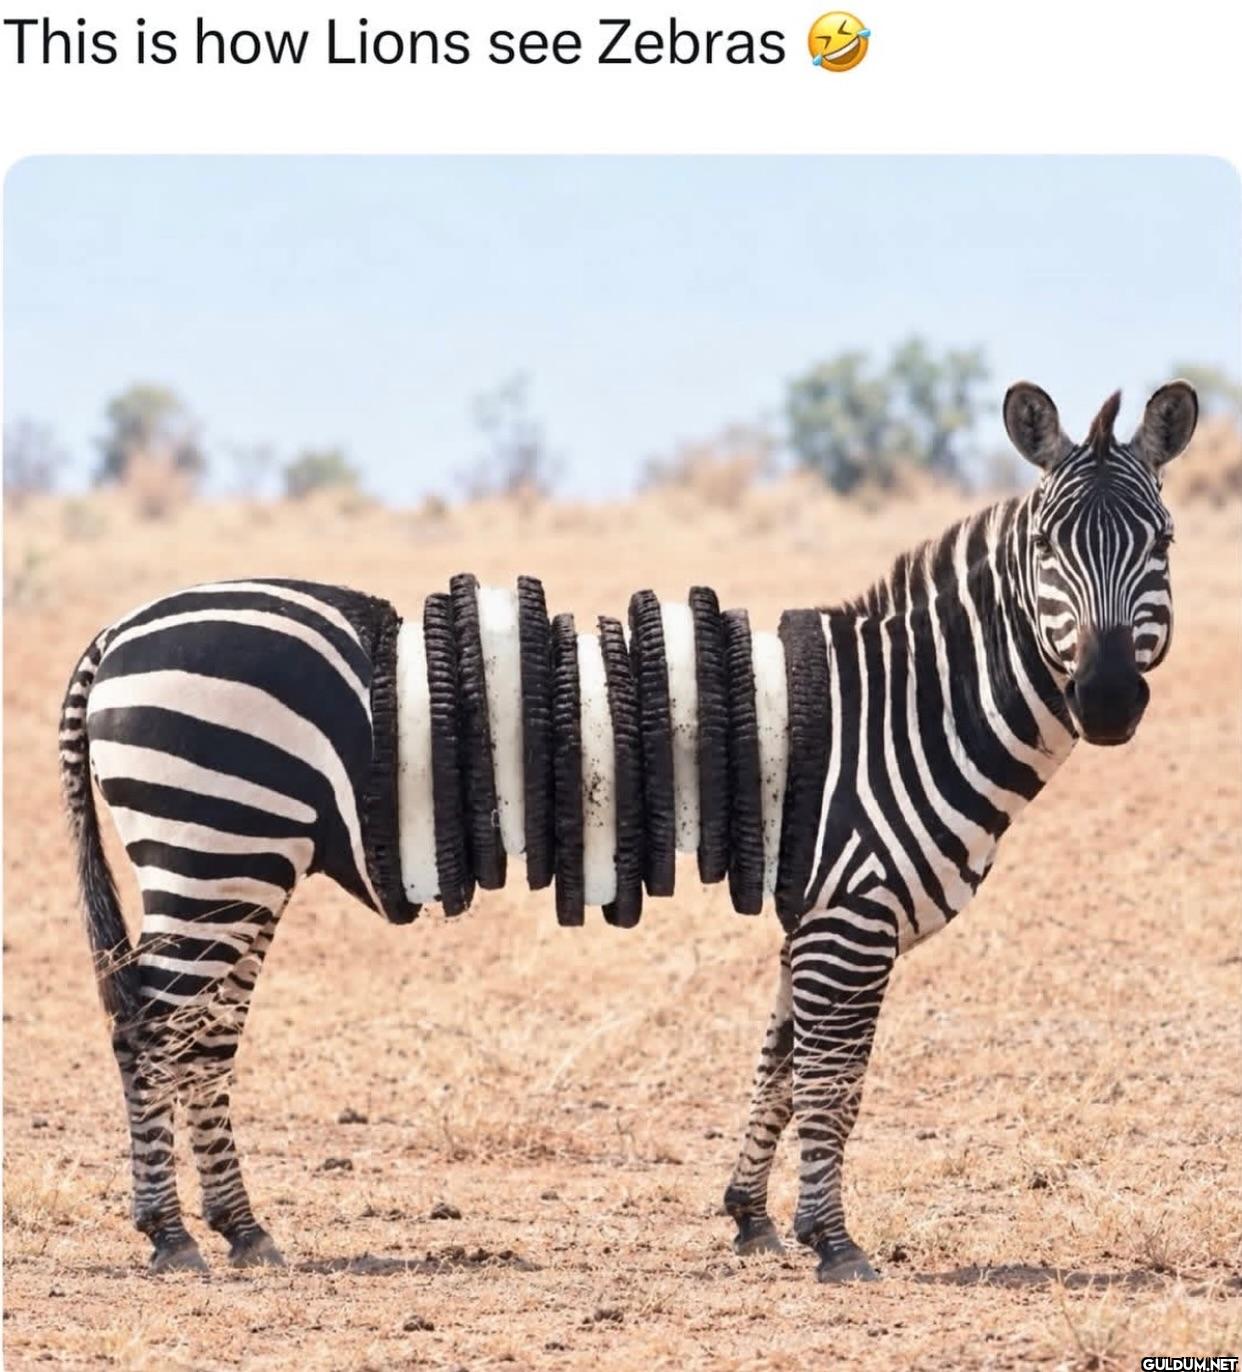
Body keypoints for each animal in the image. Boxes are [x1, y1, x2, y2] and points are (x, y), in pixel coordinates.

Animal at [59, 380, 1197, 1279]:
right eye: (1046, 548)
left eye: (1164, 544)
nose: (1107, 701)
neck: (907, 707)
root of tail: (121, 625)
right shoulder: (853, 910)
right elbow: (834, 1079)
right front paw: (834, 1243)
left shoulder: (815, 910)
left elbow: (781, 1055)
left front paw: (750, 1218)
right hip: (217, 845)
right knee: (152, 1025)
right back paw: (169, 1235)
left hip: (241, 862)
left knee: (201, 1034)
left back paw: (241, 1230)